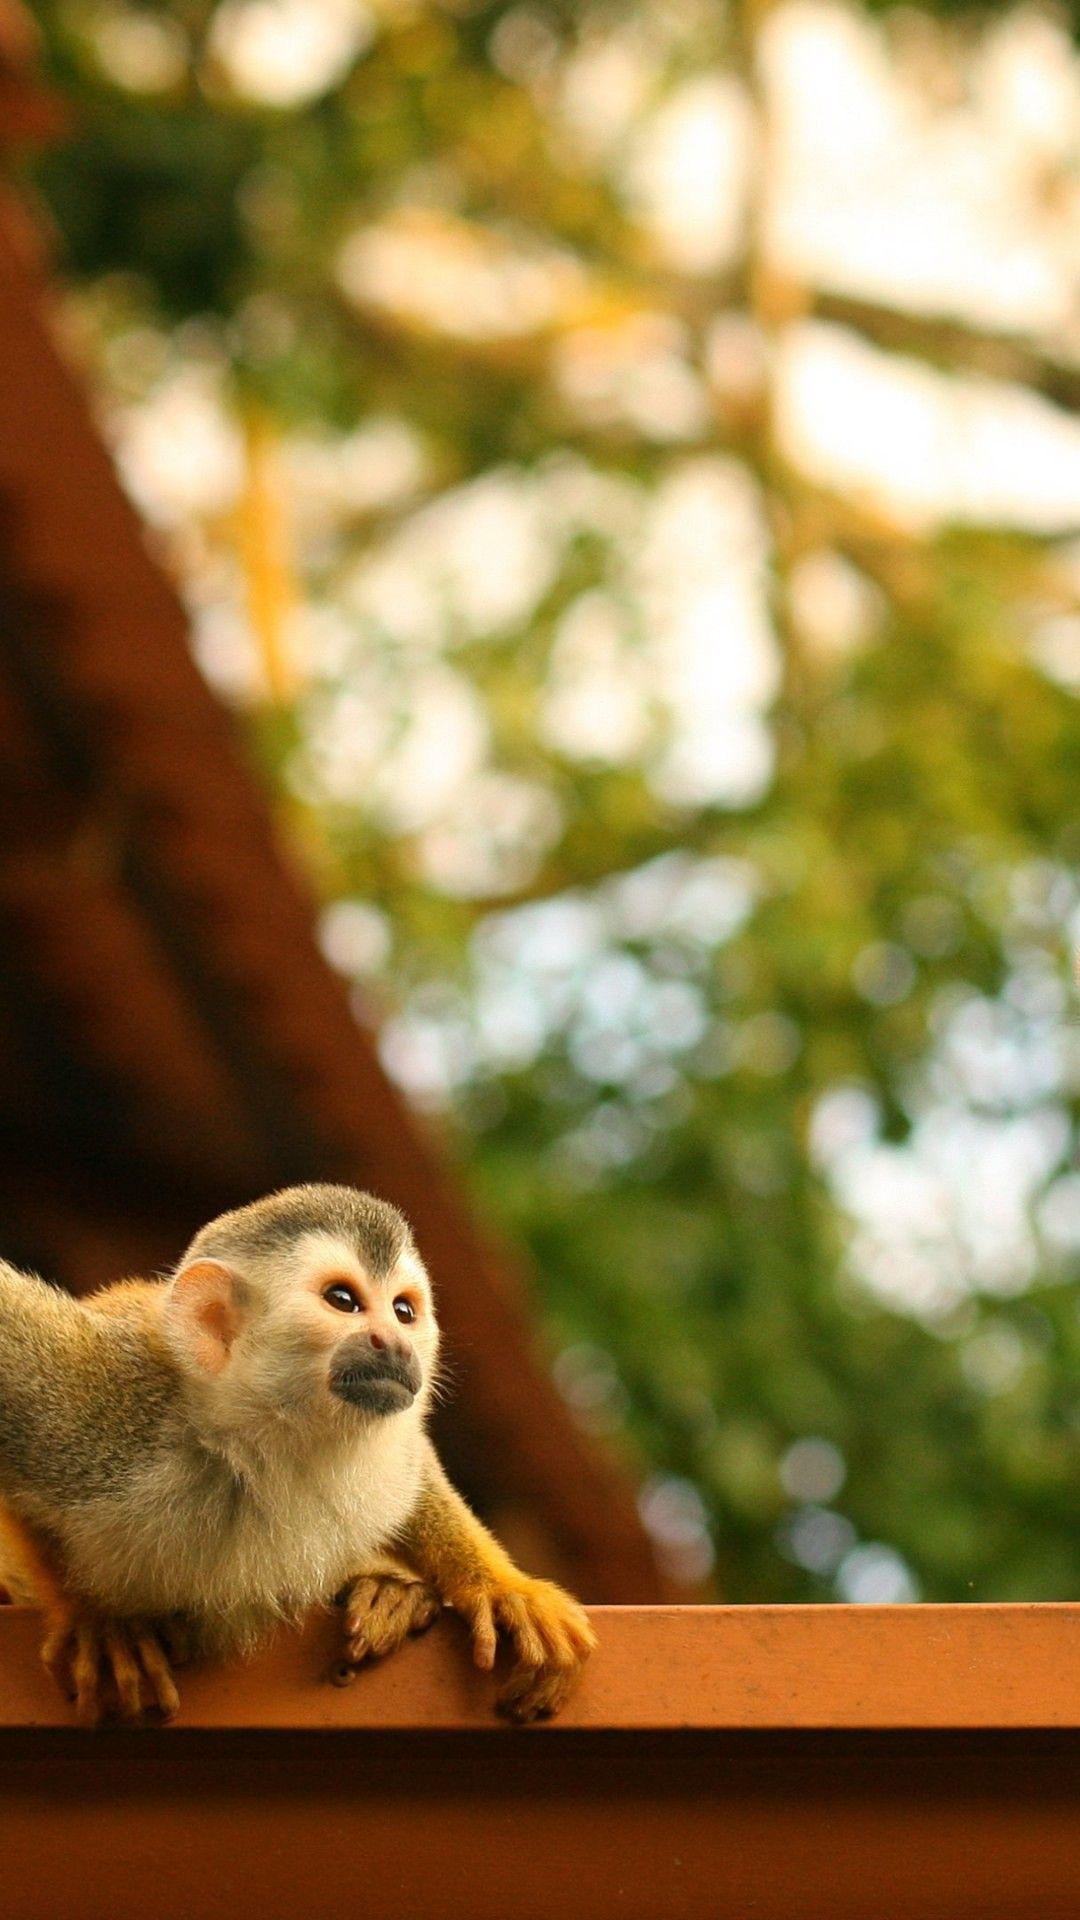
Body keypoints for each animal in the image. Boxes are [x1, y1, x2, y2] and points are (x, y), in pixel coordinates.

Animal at [0, 1185, 596, 1726]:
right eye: (343, 1301)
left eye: (404, 1311)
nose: (396, 1345)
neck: (250, 1445)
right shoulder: (100, 1405)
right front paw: (99, 1622)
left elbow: (413, 1464)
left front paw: (496, 1585)